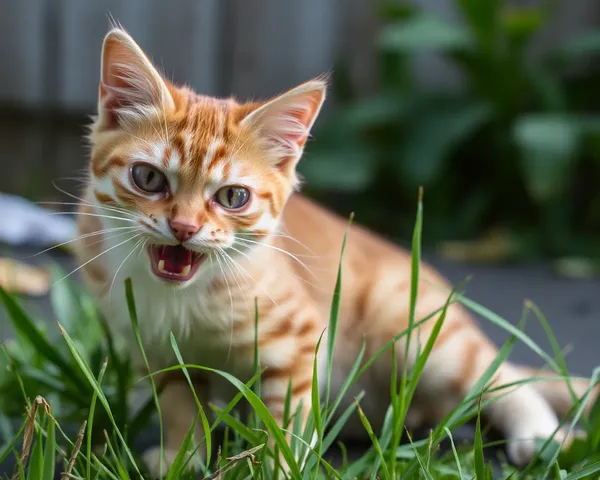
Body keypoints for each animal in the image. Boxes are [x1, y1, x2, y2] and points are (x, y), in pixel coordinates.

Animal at [72, 27, 596, 476]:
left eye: (233, 197)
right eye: (148, 178)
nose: (183, 228)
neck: (179, 300)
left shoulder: (300, 338)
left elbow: (287, 418)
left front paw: (278, 466)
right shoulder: (154, 348)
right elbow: (180, 402)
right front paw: (182, 456)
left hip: (417, 329)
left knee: (497, 376)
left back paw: (540, 435)